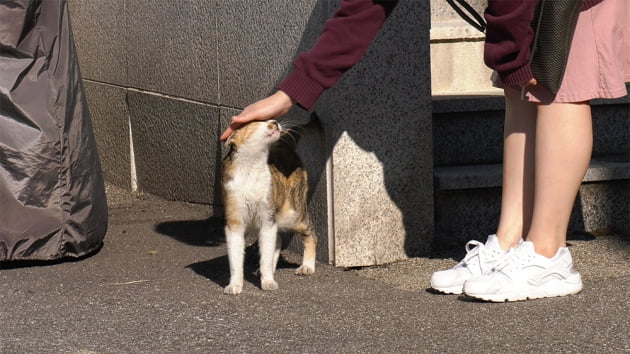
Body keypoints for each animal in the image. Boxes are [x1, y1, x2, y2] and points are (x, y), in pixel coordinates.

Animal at [223, 120, 320, 294]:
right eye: (256, 122)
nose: (274, 121)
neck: (251, 168)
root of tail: (284, 145)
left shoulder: (267, 218)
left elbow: (266, 256)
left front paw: (268, 281)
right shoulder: (235, 222)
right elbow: (235, 260)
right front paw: (234, 285)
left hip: (293, 214)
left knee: (311, 236)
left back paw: (307, 266)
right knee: (278, 240)